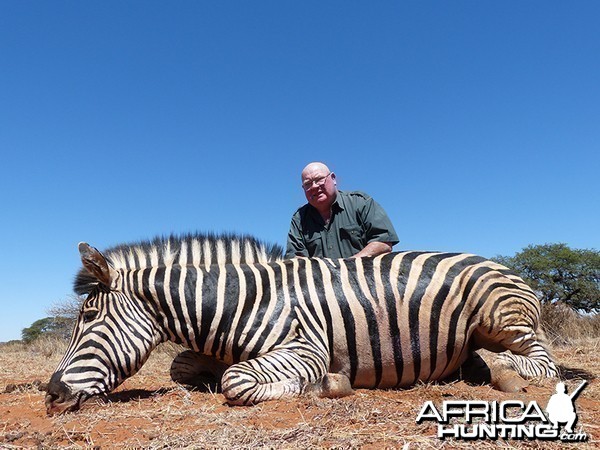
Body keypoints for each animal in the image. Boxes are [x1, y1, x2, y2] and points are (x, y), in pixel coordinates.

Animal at [45, 234, 556, 414]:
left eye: (88, 318)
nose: (51, 394)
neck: (242, 302)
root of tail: (508, 268)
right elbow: (184, 368)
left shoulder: (305, 349)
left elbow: (235, 381)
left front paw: (329, 385)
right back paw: (473, 367)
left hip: (499, 317)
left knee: (541, 362)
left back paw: (500, 372)